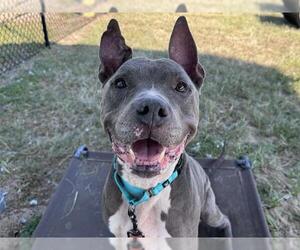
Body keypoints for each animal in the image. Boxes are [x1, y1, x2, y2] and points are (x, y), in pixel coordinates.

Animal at [99, 15, 232, 238]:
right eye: (120, 83)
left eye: (181, 87)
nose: (152, 108)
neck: (144, 190)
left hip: (210, 211)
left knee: (224, 220)